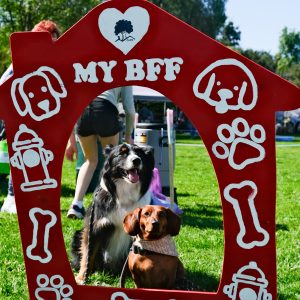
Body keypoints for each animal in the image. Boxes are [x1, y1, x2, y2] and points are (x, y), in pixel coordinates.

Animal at [71, 143, 154, 284]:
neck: (125, 195)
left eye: (139, 153)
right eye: (122, 153)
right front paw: (81, 277)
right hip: (77, 235)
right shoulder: (95, 227)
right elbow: (87, 255)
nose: (137, 160)